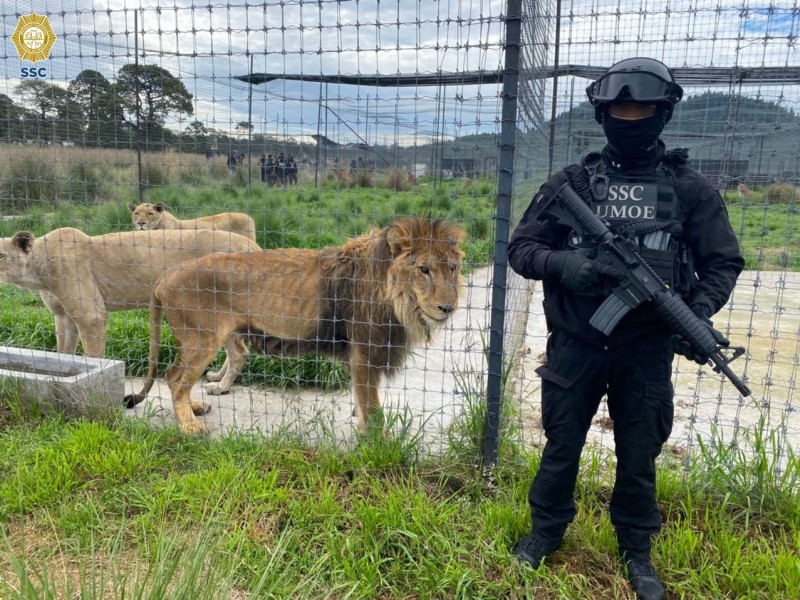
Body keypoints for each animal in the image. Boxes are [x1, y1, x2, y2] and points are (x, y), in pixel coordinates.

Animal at [126, 218, 468, 434]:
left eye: (452, 268)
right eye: (424, 269)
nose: (448, 308)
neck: (399, 300)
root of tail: (164, 276)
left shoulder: (358, 354)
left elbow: (362, 400)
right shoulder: (364, 352)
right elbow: (372, 408)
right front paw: (378, 444)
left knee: (182, 375)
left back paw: (196, 407)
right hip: (201, 340)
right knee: (175, 379)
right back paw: (189, 425)